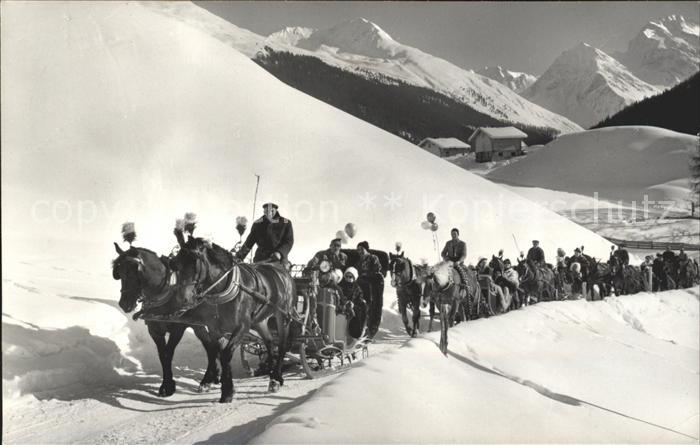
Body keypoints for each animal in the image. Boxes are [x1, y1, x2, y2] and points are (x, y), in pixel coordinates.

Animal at [111, 243, 219, 396]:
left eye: (134, 272)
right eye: (119, 273)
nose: (124, 304)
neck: (165, 293)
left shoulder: (178, 329)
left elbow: (168, 354)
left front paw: (168, 386)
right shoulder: (154, 331)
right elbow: (162, 355)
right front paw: (167, 384)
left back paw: (208, 379)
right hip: (198, 325)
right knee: (210, 346)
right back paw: (210, 378)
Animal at [170, 239, 296, 402]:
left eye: (195, 263)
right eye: (177, 265)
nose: (183, 299)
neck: (222, 290)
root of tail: (282, 271)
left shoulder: (242, 327)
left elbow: (225, 354)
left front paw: (227, 391)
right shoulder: (214, 328)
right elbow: (215, 351)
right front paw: (220, 384)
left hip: (283, 316)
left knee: (281, 345)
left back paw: (276, 378)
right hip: (259, 321)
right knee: (269, 342)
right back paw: (270, 373)